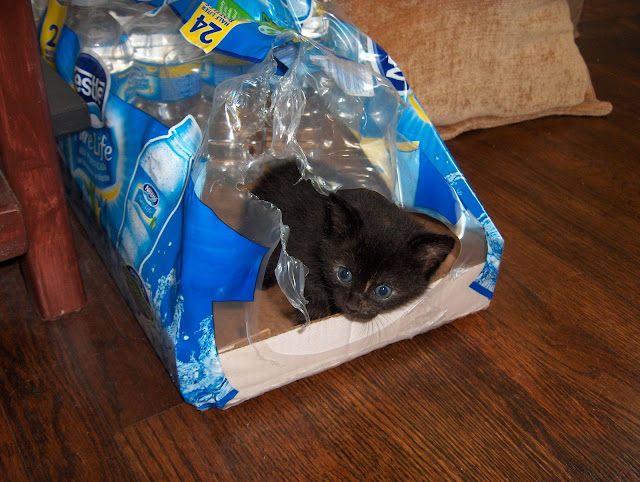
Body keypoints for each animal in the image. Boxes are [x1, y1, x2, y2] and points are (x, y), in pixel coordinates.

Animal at [250, 161, 456, 322]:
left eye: (383, 291)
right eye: (344, 274)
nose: (353, 306)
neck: (324, 232)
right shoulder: (301, 248)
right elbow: (309, 286)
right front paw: (315, 316)